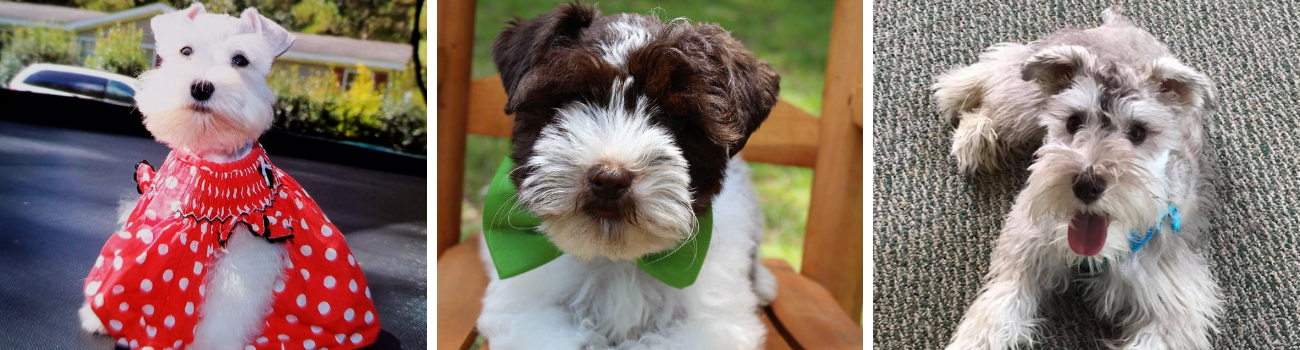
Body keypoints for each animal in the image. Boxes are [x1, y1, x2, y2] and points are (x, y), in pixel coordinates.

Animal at [81, 3, 379, 348]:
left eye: (240, 60)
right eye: (186, 50)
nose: (201, 87)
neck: (212, 156)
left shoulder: (248, 250)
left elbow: (227, 309)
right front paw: (98, 314)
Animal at [478, 2, 780, 348]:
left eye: (674, 119)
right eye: (572, 100)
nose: (610, 179)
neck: (616, 258)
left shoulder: (714, 326)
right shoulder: (528, 310)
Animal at [935, 6, 1216, 348]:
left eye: (1138, 132)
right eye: (1073, 122)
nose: (1087, 185)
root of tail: (1118, 22)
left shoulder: (1173, 312)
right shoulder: (1023, 257)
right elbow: (993, 317)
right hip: (1027, 99)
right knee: (1002, 68)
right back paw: (966, 116)